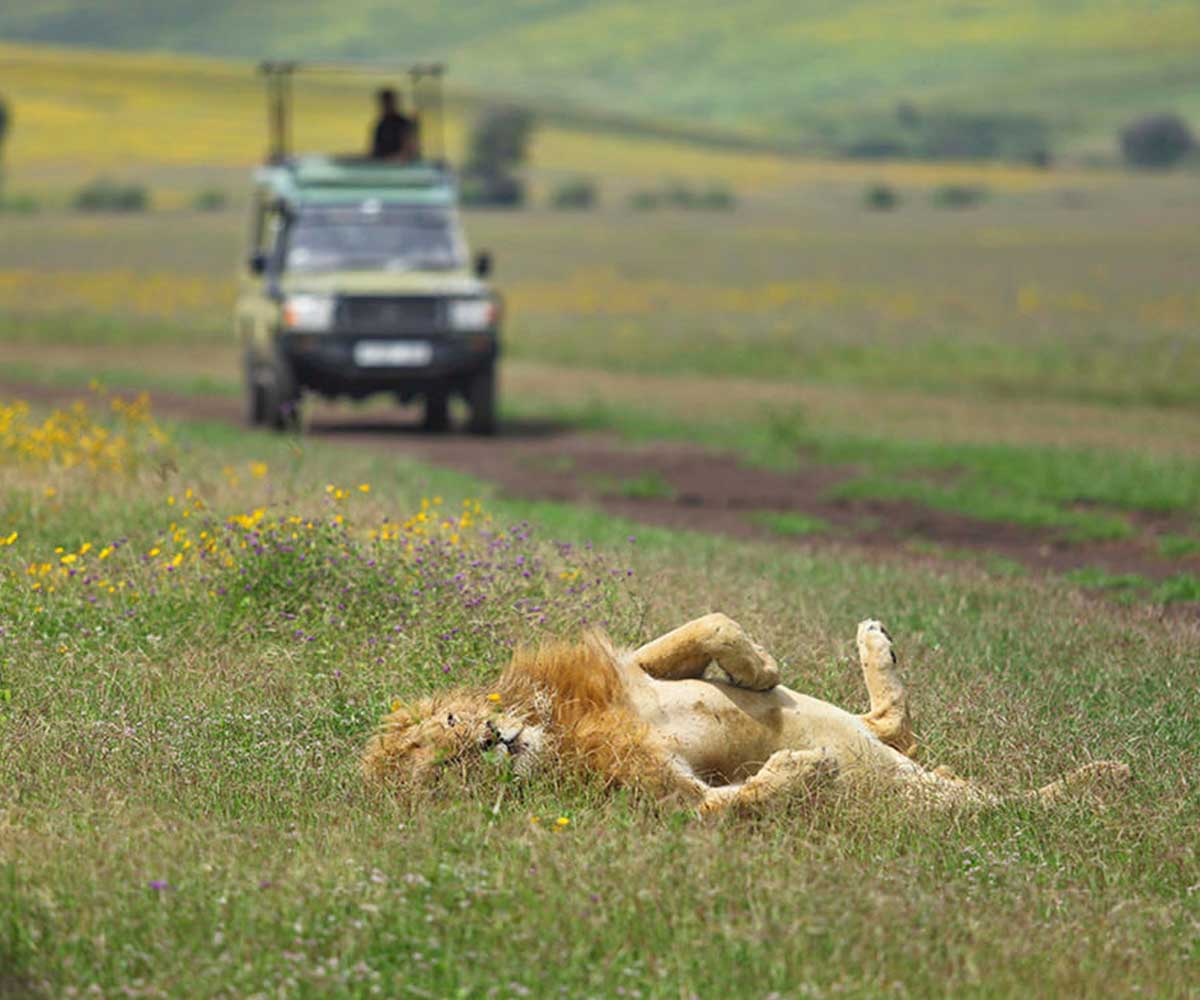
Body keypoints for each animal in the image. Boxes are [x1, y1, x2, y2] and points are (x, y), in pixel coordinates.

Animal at [360, 612, 1128, 816]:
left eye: (449, 732)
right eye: (442, 774)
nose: (492, 740)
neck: (556, 731)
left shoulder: (634, 670)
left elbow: (708, 628)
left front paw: (758, 667)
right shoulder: (672, 801)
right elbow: (734, 801)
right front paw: (805, 769)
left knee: (893, 725)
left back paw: (876, 641)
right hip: (933, 803)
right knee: (1008, 806)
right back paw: (1105, 778)